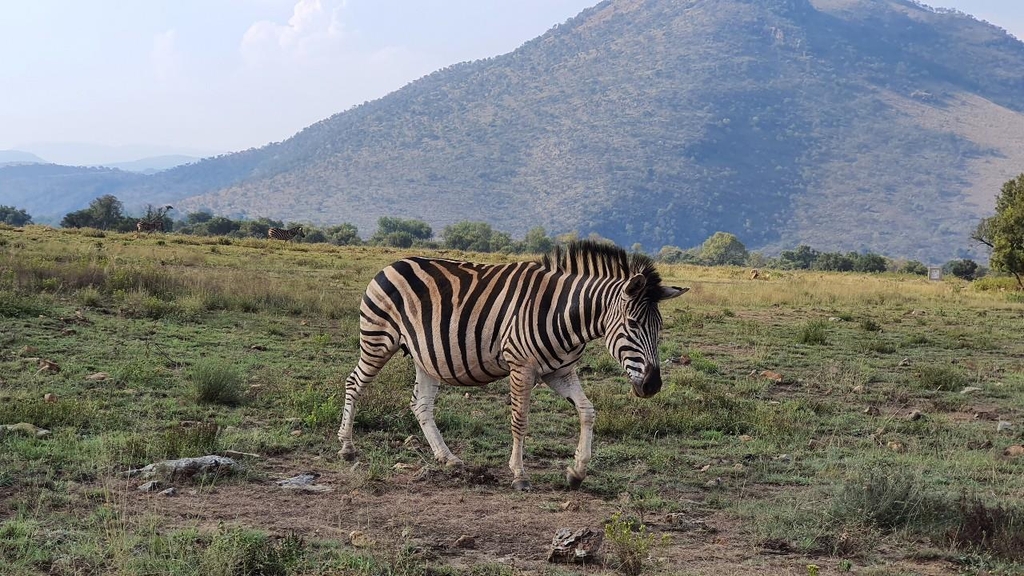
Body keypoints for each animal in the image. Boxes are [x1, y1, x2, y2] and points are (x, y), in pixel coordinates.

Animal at [339, 239, 692, 485]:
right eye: (632, 324)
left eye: (659, 328)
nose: (652, 385)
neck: (565, 314)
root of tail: (392, 263)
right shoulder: (521, 366)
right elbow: (520, 420)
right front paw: (520, 474)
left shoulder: (561, 372)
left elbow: (587, 411)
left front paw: (577, 471)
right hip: (378, 339)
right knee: (354, 383)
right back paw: (347, 447)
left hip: (426, 356)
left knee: (421, 404)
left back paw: (447, 458)